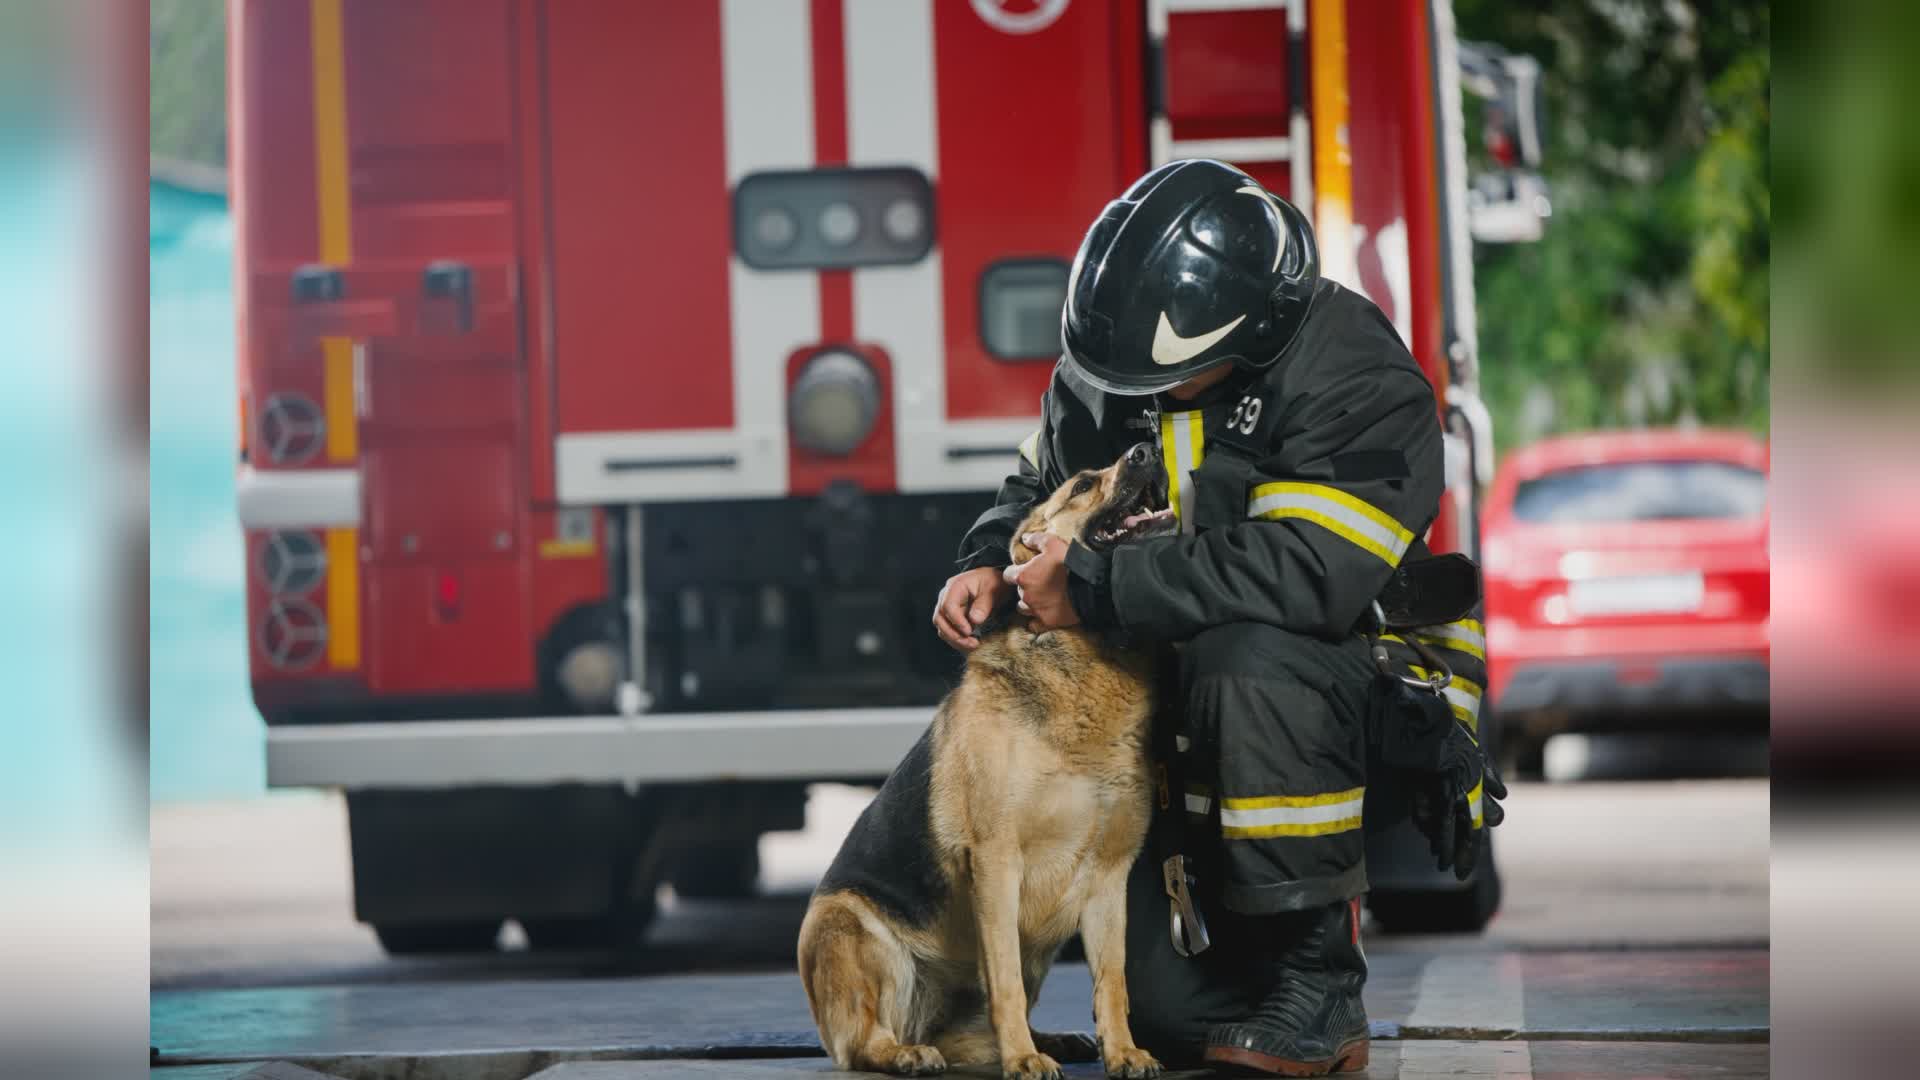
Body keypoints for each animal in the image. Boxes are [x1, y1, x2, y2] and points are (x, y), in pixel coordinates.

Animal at [798, 441, 1182, 1068]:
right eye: (1082, 484)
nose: (1145, 448)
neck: (1083, 661)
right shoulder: (997, 862)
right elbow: (1003, 980)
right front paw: (1023, 1061)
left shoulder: (1108, 876)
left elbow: (1112, 980)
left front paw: (1123, 1052)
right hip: (848, 930)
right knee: (862, 1042)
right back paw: (907, 1053)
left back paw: (1042, 1039)